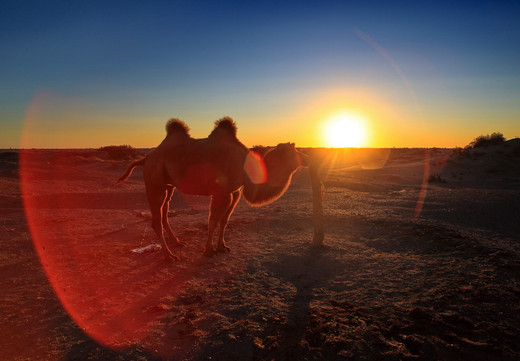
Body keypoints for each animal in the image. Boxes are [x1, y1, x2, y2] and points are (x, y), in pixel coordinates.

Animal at [118, 116, 308, 260]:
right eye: (294, 152)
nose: (307, 159)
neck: (244, 165)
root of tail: (146, 158)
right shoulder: (220, 191)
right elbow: (213, 220)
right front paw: (208, 250)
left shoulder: (234, 192)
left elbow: (224, 220)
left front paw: (222, 247)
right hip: (155, 180)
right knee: (156, 219)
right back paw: (169, 256)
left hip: (168, 185)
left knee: (165, 212)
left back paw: (177, 242)